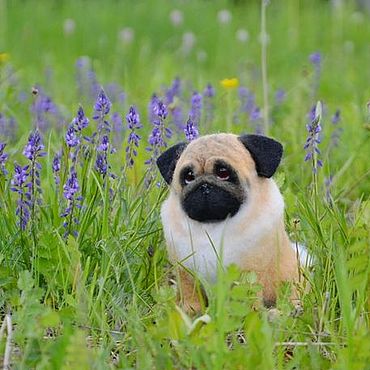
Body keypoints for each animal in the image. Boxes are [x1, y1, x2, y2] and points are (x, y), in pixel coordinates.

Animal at [155, 133, 306, 312]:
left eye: (223, 173)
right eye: (189, 177)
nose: (204, 185)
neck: (213, 224)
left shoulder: (251, 272)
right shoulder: (186, 274)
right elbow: (190, 295)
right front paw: (190, 312)